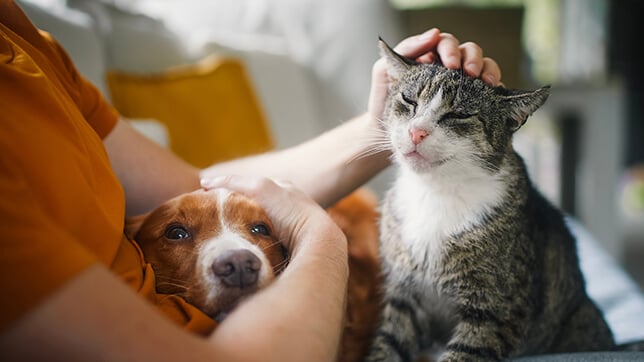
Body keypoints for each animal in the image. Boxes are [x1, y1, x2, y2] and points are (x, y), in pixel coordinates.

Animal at [364, 39, 616, 362]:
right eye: (409, 100)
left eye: (458, 115)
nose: (416, 131)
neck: (437, 191)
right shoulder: (403, 296)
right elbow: (387, 343)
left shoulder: (496, 311)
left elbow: (465, 351)